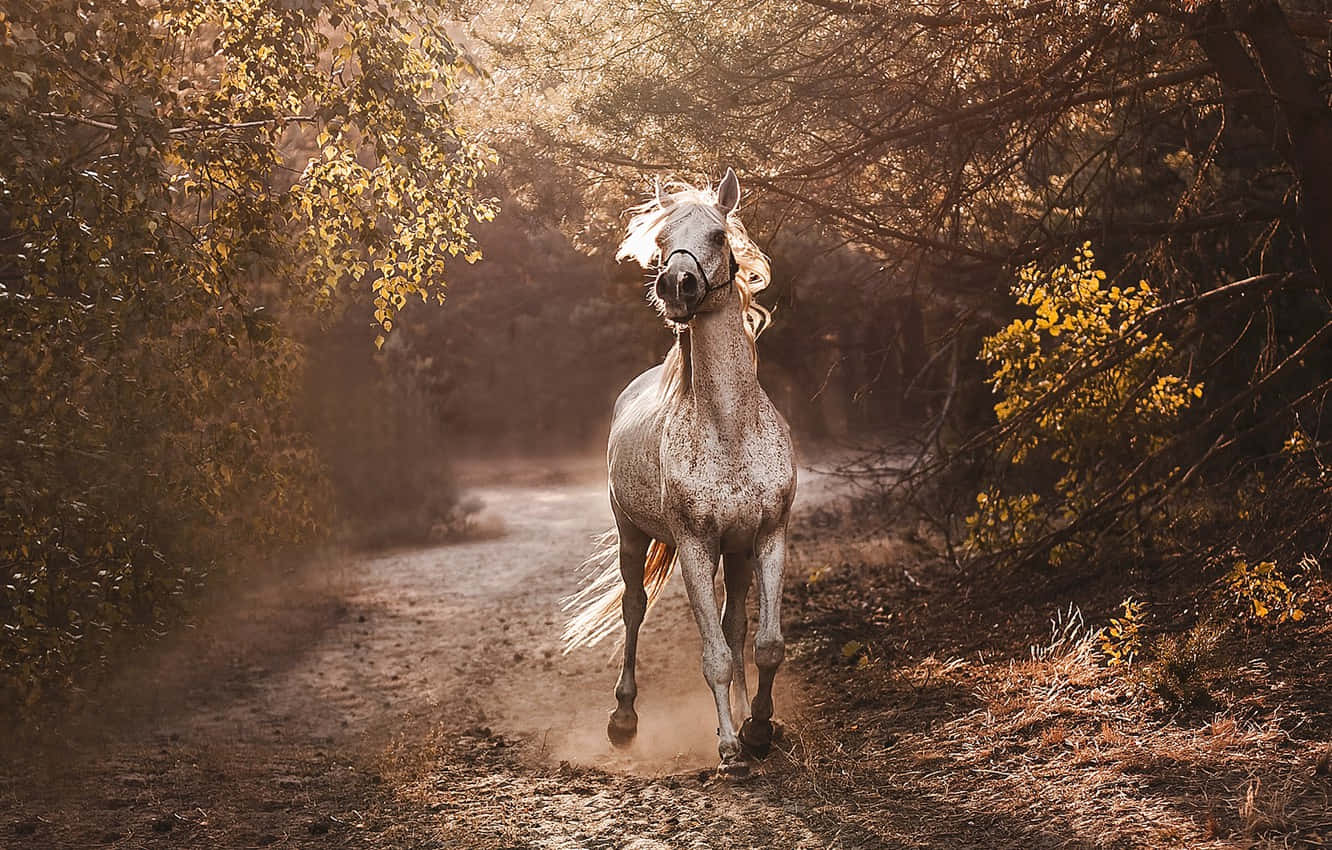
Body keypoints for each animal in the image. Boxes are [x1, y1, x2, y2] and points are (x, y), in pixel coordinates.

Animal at [563, 169, 796, 777]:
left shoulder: (768, 537)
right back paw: (623, 720)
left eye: (717, 234)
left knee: (735, 625)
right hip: (632, 534)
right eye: (662, 241)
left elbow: (764, 644)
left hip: (734, 553)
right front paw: (731, 749)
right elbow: (713, 655)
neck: (730, 426)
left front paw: (759, 728)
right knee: (634, 609)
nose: (676, 285)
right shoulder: (694, 545)